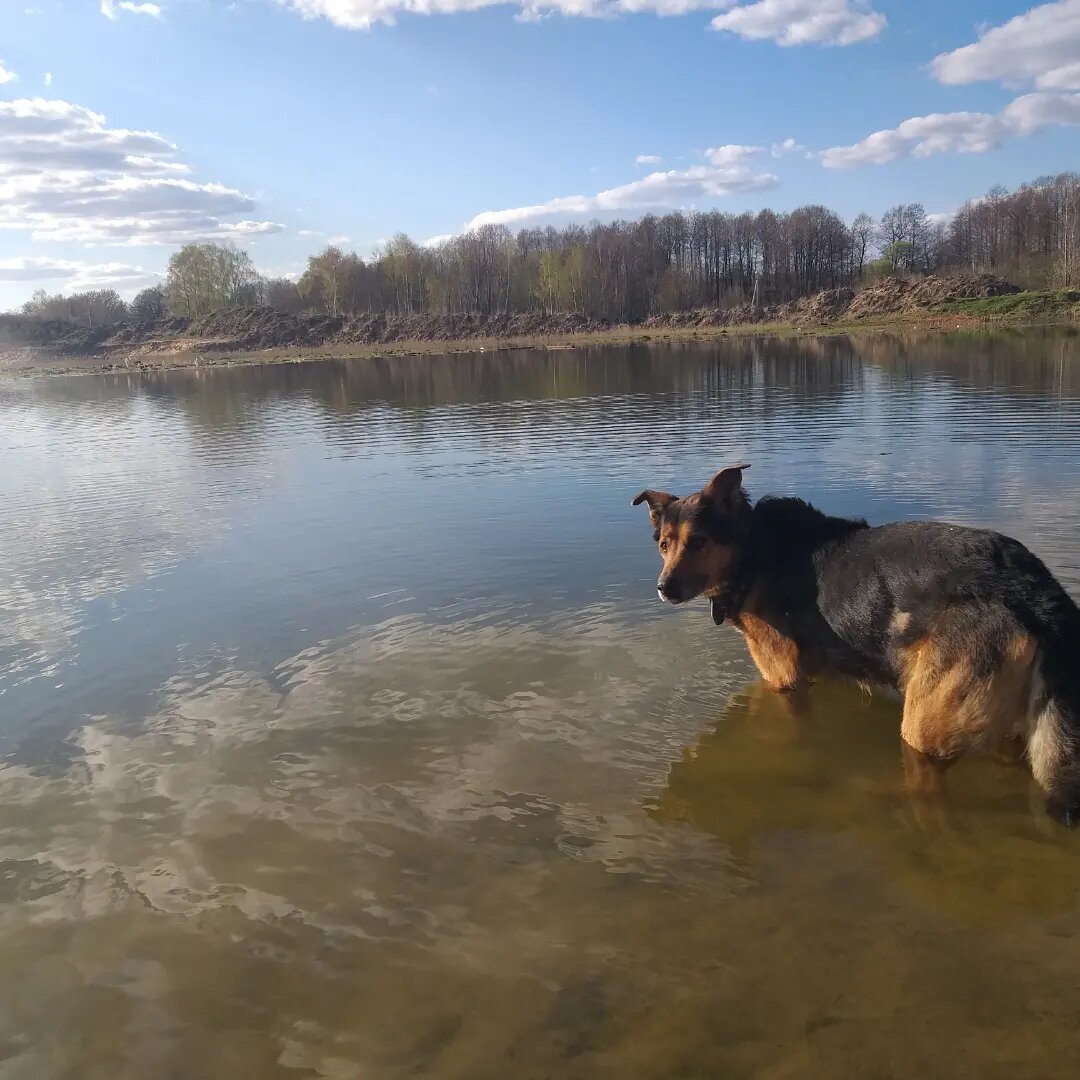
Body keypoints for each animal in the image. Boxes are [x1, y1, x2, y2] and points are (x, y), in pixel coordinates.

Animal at [630, 464, 1080, 825]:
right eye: (664, 545)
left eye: (699, 541)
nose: (664, 588)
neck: (754, 549)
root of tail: (1033, 589)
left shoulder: (784, 681)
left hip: (924, 723)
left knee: (926, 790)